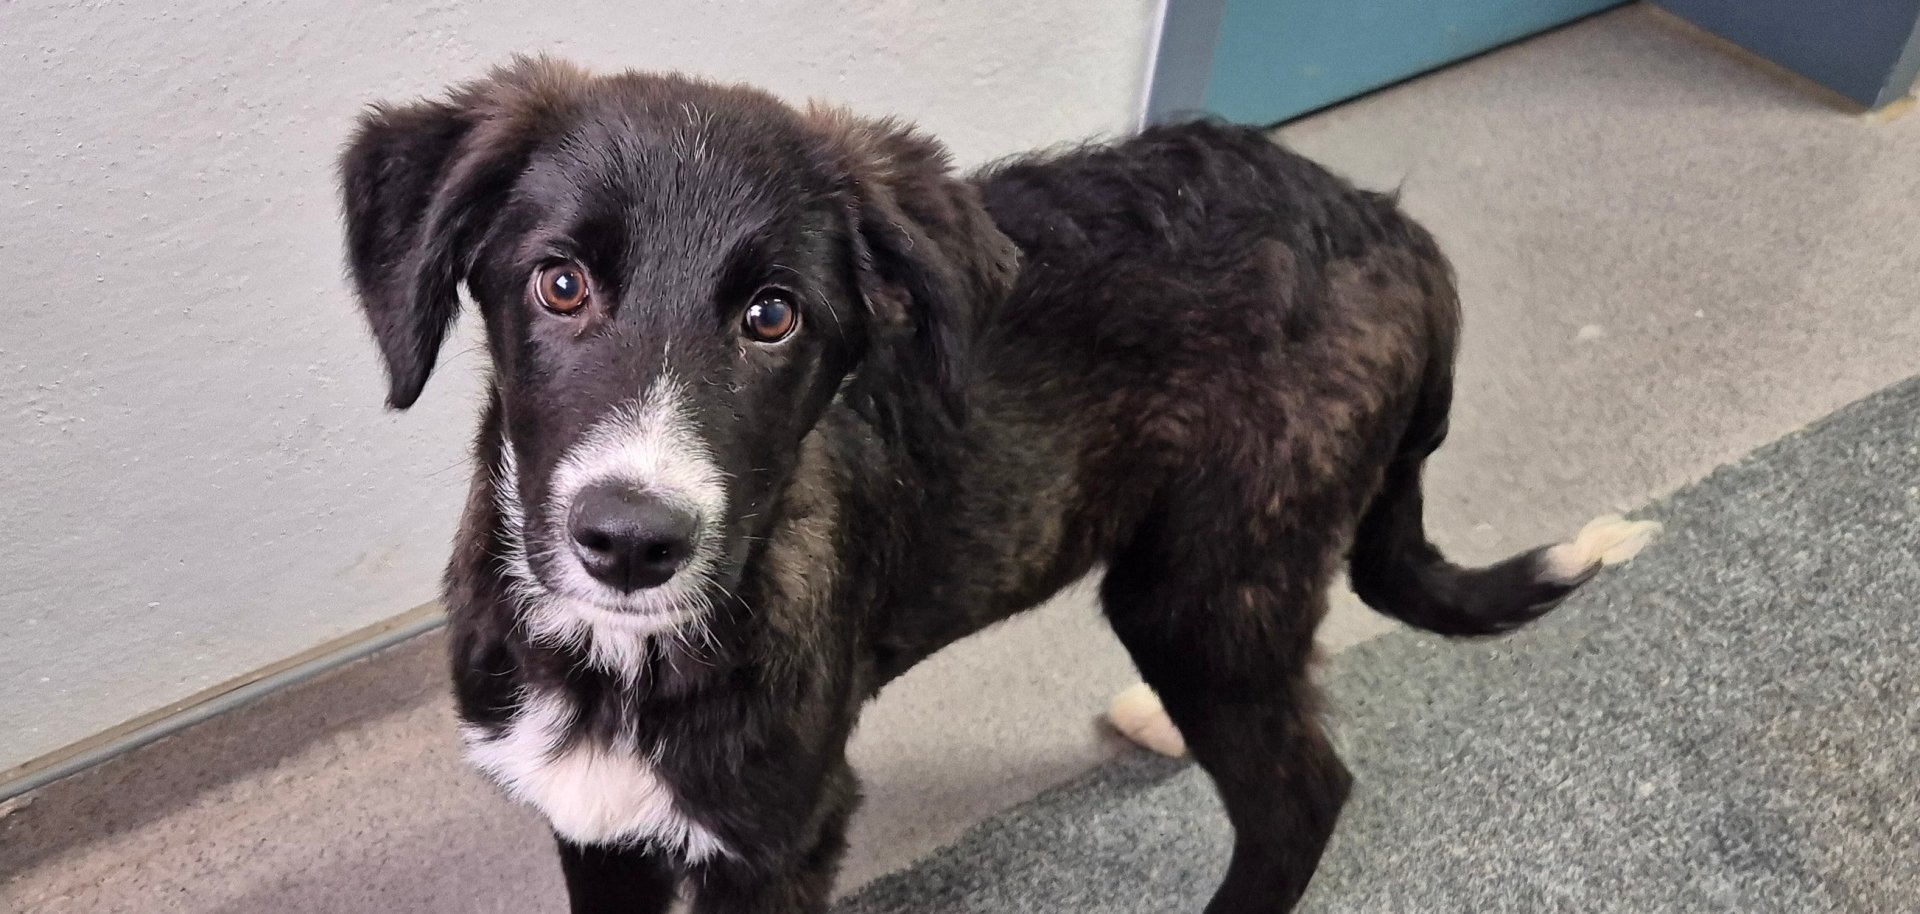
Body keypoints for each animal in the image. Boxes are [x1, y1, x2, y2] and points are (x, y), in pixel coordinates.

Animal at [338, 57, 1654, 913]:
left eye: (774, 316)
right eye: (559, 283)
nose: (630, 540)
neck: (620, 659)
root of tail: (1397, 231)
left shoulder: (781, 835)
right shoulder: (595, 821)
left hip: (1208, 579)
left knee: (1302, 792)